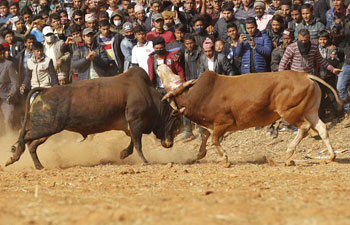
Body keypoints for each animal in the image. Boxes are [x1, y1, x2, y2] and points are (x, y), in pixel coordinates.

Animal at [5, 67, 182, 169]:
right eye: (176, 123)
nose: (170, 143)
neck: (148, 94)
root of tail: (45, 91)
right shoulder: (135, 121)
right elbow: (138, 144)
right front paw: (144, 161)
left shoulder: (130, 126)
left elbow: (132, 143)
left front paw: (123, 154)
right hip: (46, 127)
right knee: (24, 138)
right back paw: (13, 156)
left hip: (46, 130)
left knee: (31, 145)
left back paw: (39, 166)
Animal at [158, 64, 342, 165]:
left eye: (173, 82)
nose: (160, 66)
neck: (197, 94)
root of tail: (305, 76)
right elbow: (205, 135)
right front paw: (200, 154)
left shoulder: (223, 123)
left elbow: (214, 139)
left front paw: (225, 159)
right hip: (310, 110)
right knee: (322, 128)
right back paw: (331, 156)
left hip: (289, 112)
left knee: (304, 127)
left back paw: (289, 154)